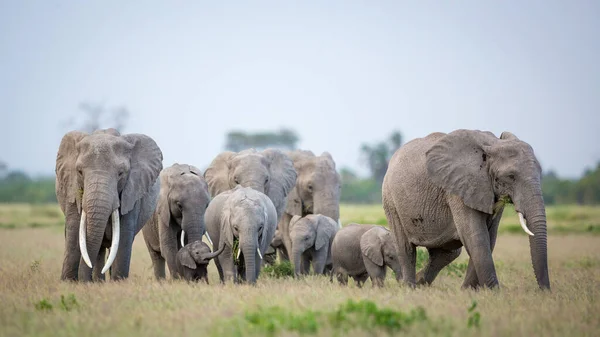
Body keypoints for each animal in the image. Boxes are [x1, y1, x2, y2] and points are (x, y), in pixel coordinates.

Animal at [55, 127, 163, 280]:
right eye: (79, 172)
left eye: (121, 173)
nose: (83, 280)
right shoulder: (72, 187)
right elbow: (75, 231)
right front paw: (68, 282)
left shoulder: (133, 193)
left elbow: (123, 236)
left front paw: (118, 282)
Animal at [382, 129, 552, 288]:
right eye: (511, 176)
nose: (544, 291)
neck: (493, 144)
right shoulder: (458, 188)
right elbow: (476, 236)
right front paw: (494, 292)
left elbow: (489, 237)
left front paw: (468, 290)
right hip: (390, 199)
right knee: (406, 248)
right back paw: (409, 287)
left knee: (447, 253)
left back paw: (420, 282)